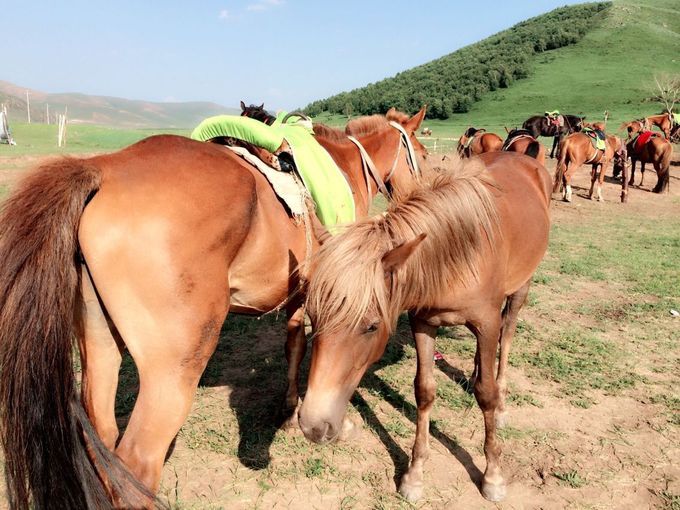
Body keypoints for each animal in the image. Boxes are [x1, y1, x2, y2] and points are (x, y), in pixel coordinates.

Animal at [0, 106, 430, 506]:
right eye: (423, 153)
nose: (422, 190)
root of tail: (103, 171)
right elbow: (306, 348)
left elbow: (293, 343)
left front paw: (289, 409)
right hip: (173, 372)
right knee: (138, 464)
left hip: (99, 341)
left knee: (103, 440)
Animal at [302, 151, 552, 502]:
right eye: (312, 317)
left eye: (371, 326)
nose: (312, 426)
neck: (459, 253)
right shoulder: (423, 323)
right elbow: (424, 391)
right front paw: (415, 474)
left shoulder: (486, 322)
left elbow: (486, 393)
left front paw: (493, 474)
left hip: (520, 288)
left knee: (508, 335)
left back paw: (501, 400)